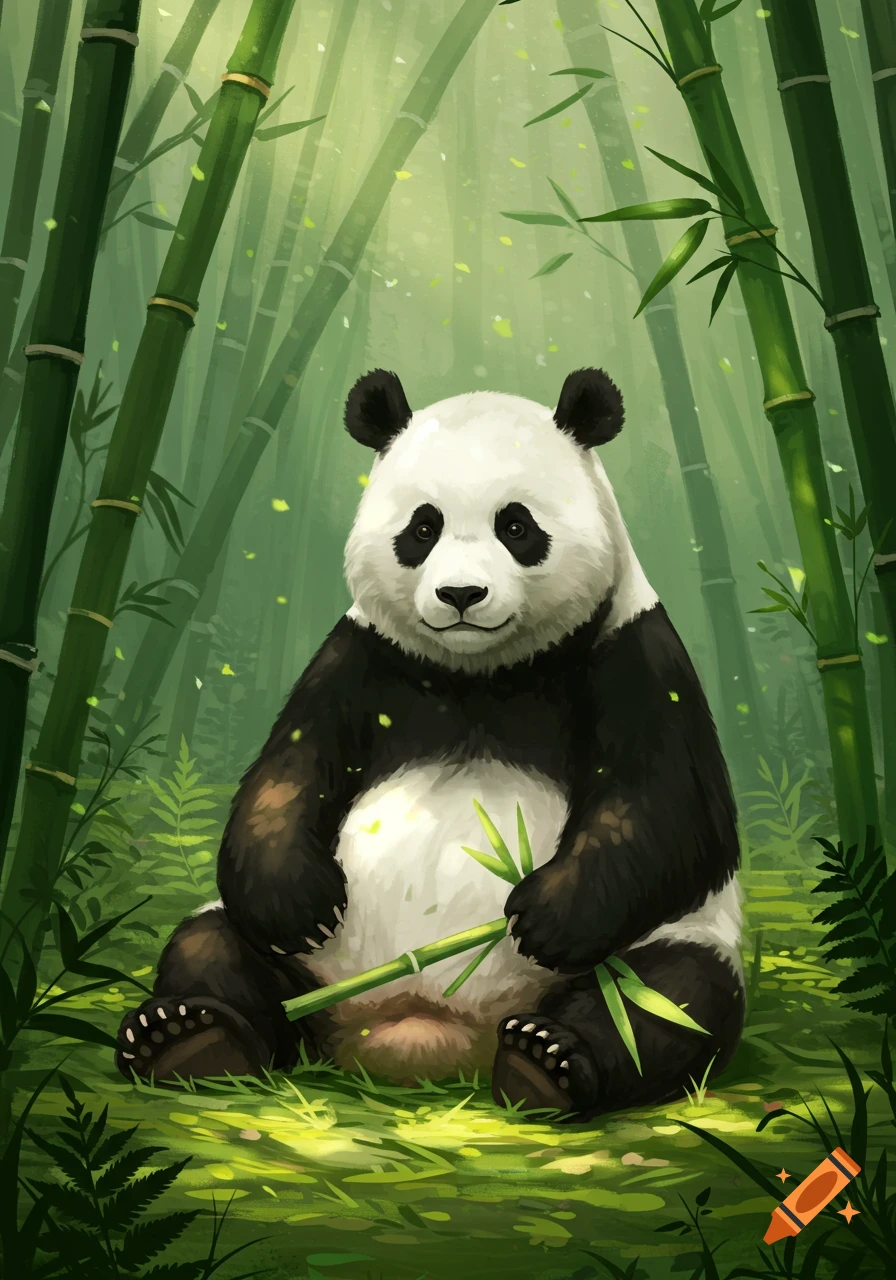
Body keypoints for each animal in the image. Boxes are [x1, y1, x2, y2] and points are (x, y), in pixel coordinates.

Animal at [116, 368, 744, 1120]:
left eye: (515, 526)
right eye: (423, 527)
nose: (461, 593)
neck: (482, 674)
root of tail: (425, 1034)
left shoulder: (632, 651)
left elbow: (672, 807)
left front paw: (545, 914)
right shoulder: (358, 658)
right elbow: (289, 770)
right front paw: (297, 898)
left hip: (661, 945)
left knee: (668, 995)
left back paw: (547, 1062)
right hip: (308, 969)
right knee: (210, 944)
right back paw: (189, 1039)